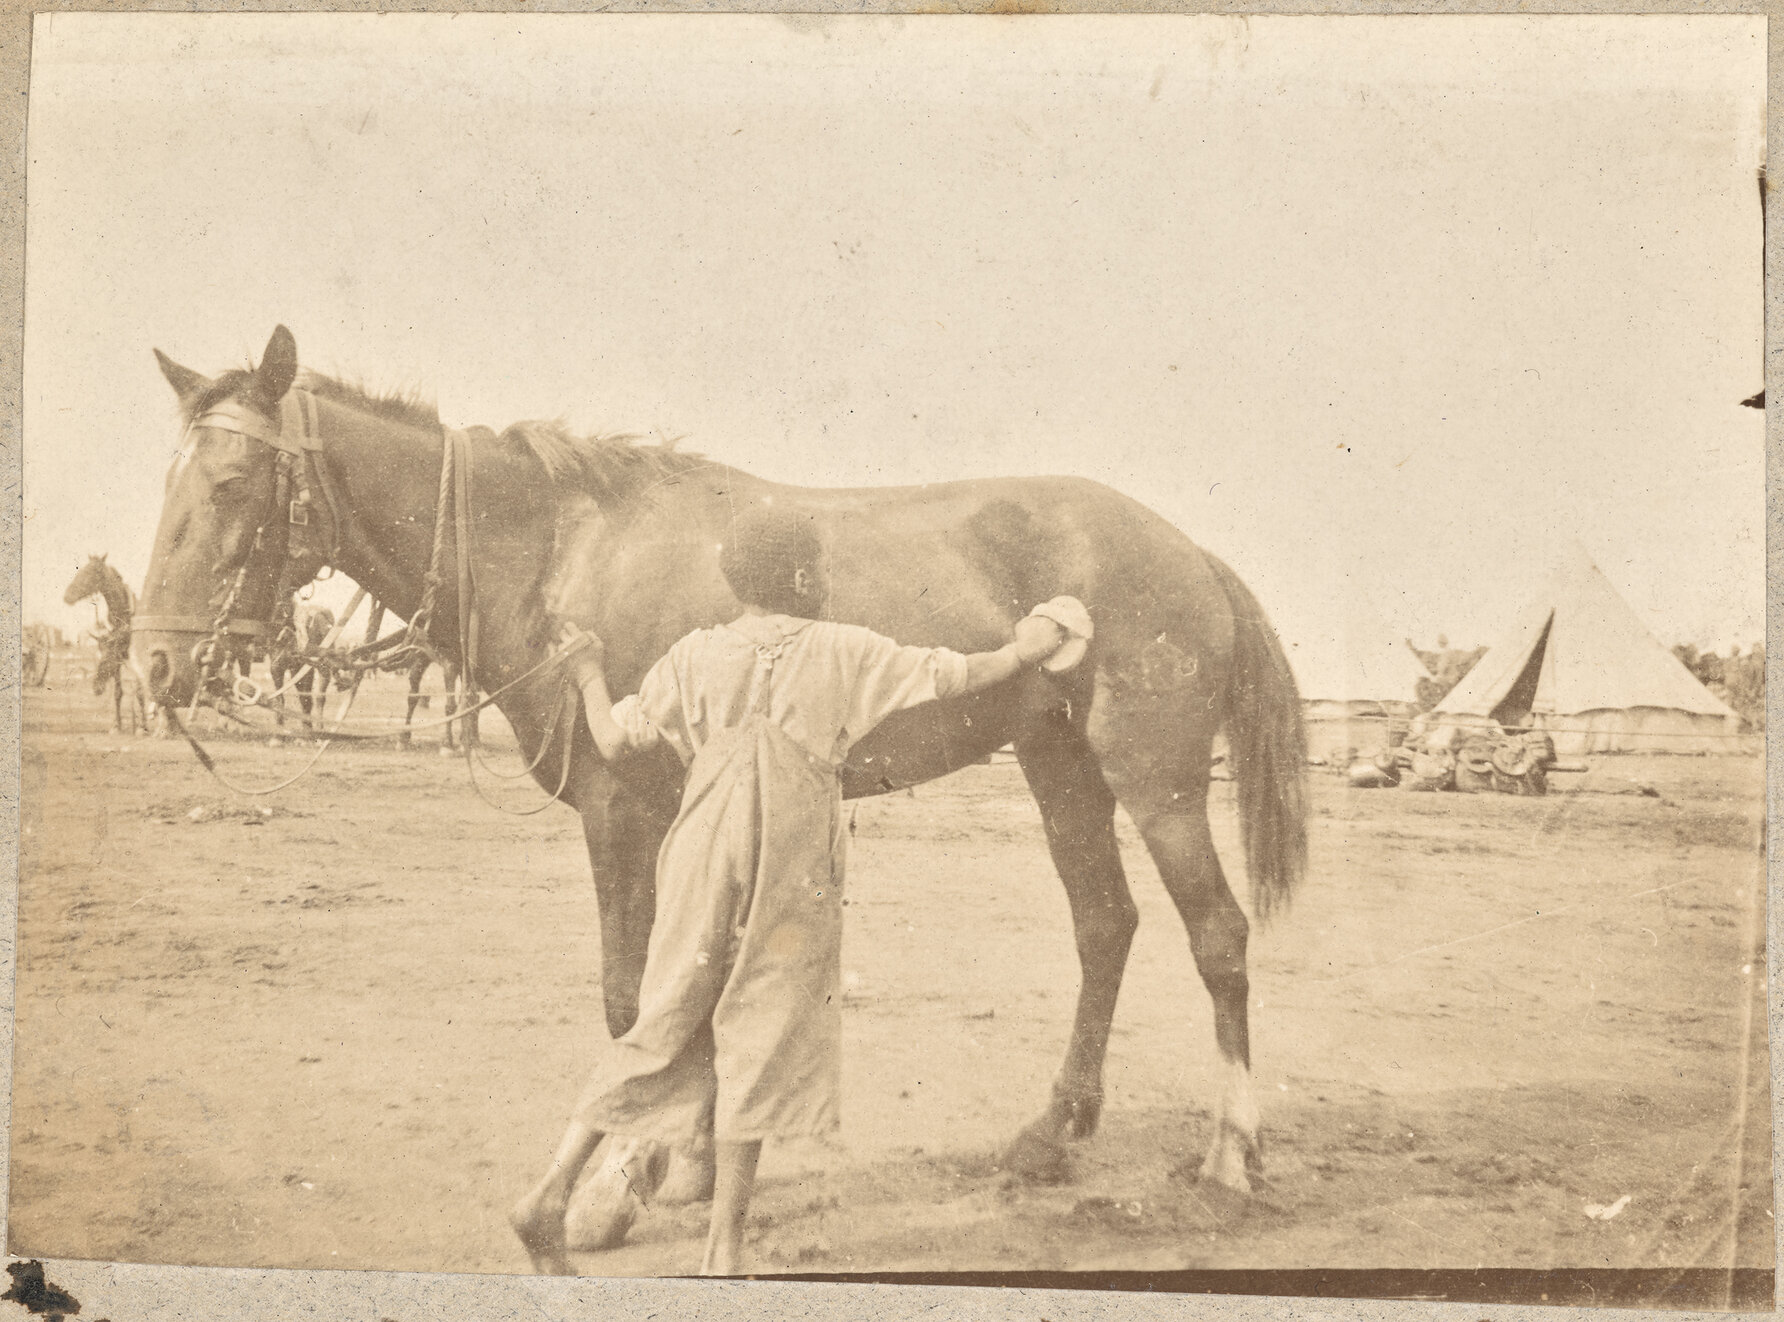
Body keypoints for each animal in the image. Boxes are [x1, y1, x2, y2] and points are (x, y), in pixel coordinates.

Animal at [63, 553, 148, 734]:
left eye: (92, 572)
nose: (67, 596)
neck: (124, 615)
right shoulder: (116, 657)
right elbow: (118, 692)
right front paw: (117, 725)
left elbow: (139, 691)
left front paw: (142, 728)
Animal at [133, 326, 1308, 1261]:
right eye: (170, 484)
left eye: (231, 486)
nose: (155, 666)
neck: (555, 550)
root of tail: (1187, 550)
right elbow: (681, 992)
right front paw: (687, 1163)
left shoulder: (622, 812)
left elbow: (631, 995)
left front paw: (619, 1184)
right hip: (1060, 766)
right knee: (1104, 926)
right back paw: (1050, 1135)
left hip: (1152, 780)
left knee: (1215, 934)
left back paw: (1228, 1159)